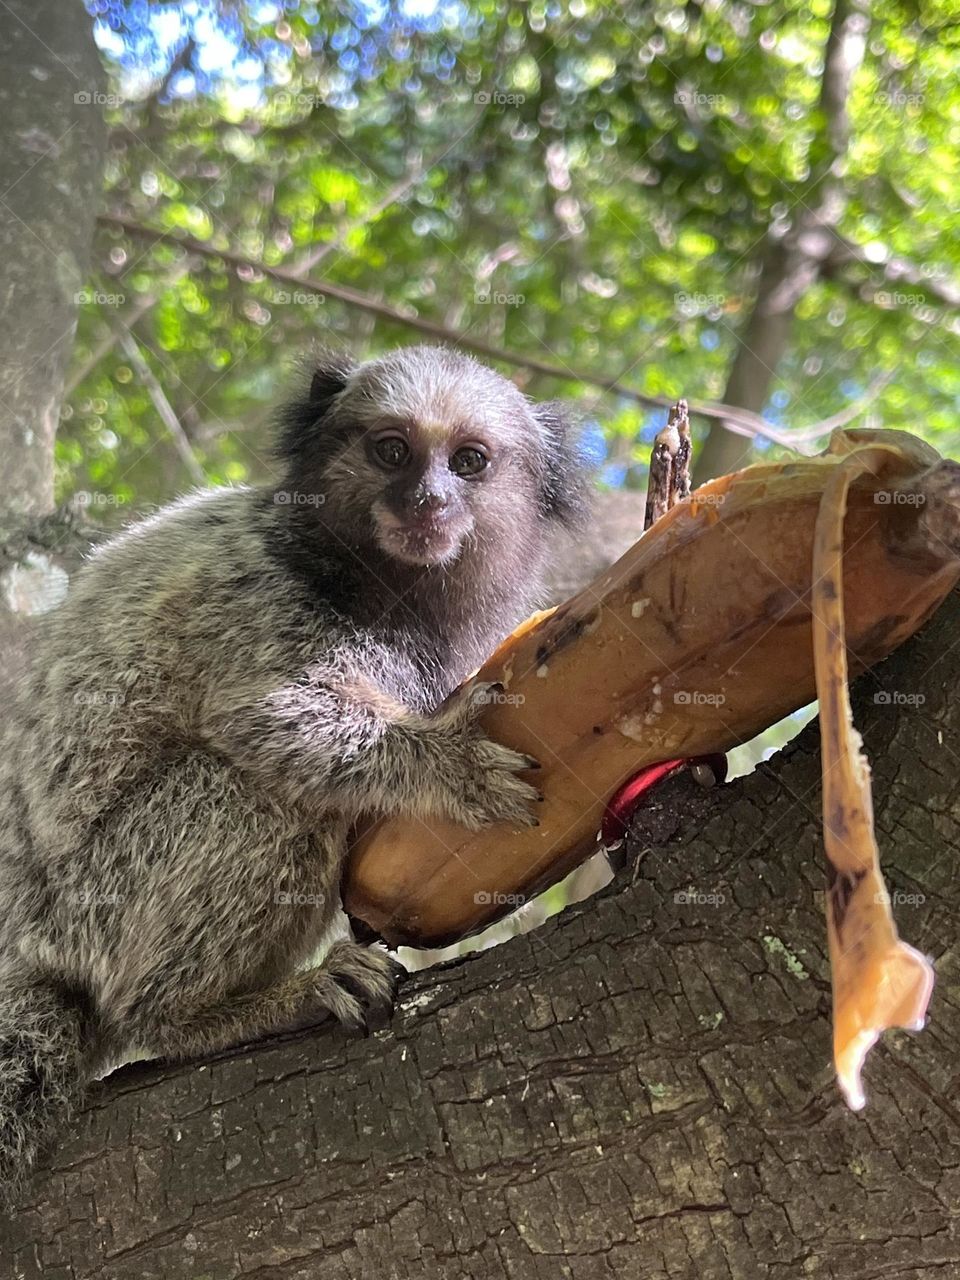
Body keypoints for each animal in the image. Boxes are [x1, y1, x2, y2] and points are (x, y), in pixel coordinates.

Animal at [0, 345, 593, 1182]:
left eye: (469, 462)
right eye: (392, 451)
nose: (426, 500)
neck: (380, 583)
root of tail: (21, 948)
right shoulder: (261, 595)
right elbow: (270, 718)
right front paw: (445, 765)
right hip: (93, 911)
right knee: (257, 796)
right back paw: (201, 1015)